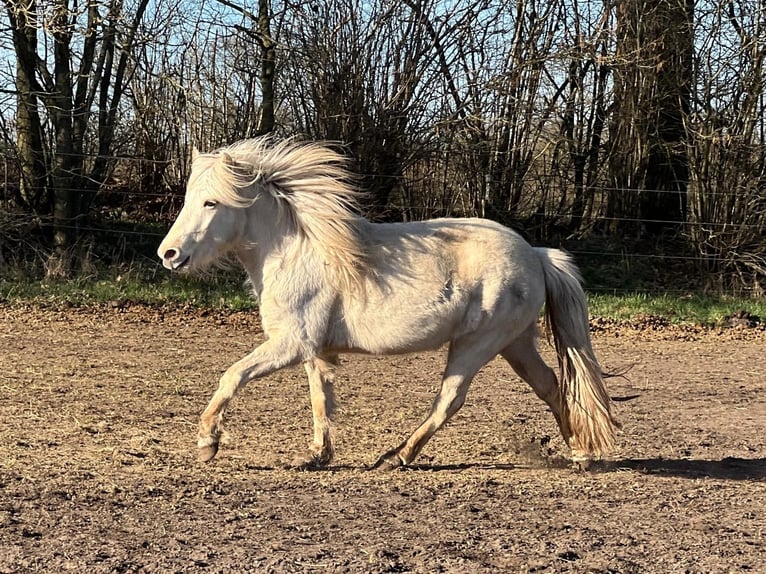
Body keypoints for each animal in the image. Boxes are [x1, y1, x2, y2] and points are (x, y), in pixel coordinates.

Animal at [157, 137, 619, 470]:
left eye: (211, 201)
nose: (168, 254)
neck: (295, 252)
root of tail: (536, 255)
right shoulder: (311, 349)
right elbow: (320, 397)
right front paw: (317, 455)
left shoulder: (289, 344)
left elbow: (232, 376)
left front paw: (207, 442)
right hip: (515, 343)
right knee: (552, 386)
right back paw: (580, 453)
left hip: (478, 344)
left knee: (449, 401)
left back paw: (396, 456)